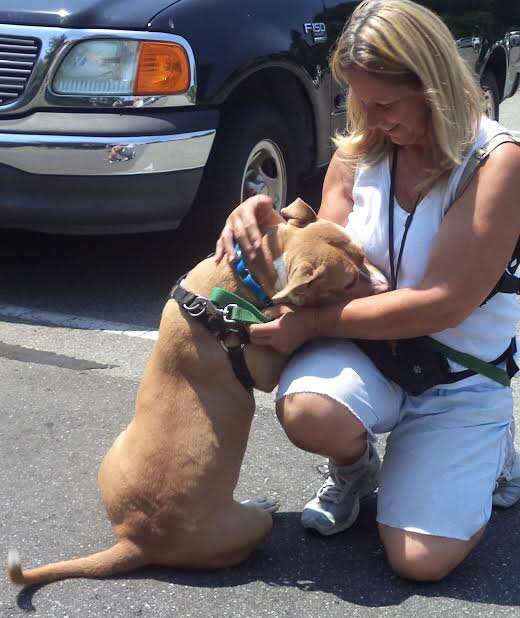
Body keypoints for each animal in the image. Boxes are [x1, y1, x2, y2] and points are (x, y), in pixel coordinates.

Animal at [7, 199, 386, 584]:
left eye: (361, 252)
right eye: (349, 280)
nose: (385, 284)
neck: (250, 275)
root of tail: (135, 541)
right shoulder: (265, 363)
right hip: (245, 528)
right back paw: (259, 505)